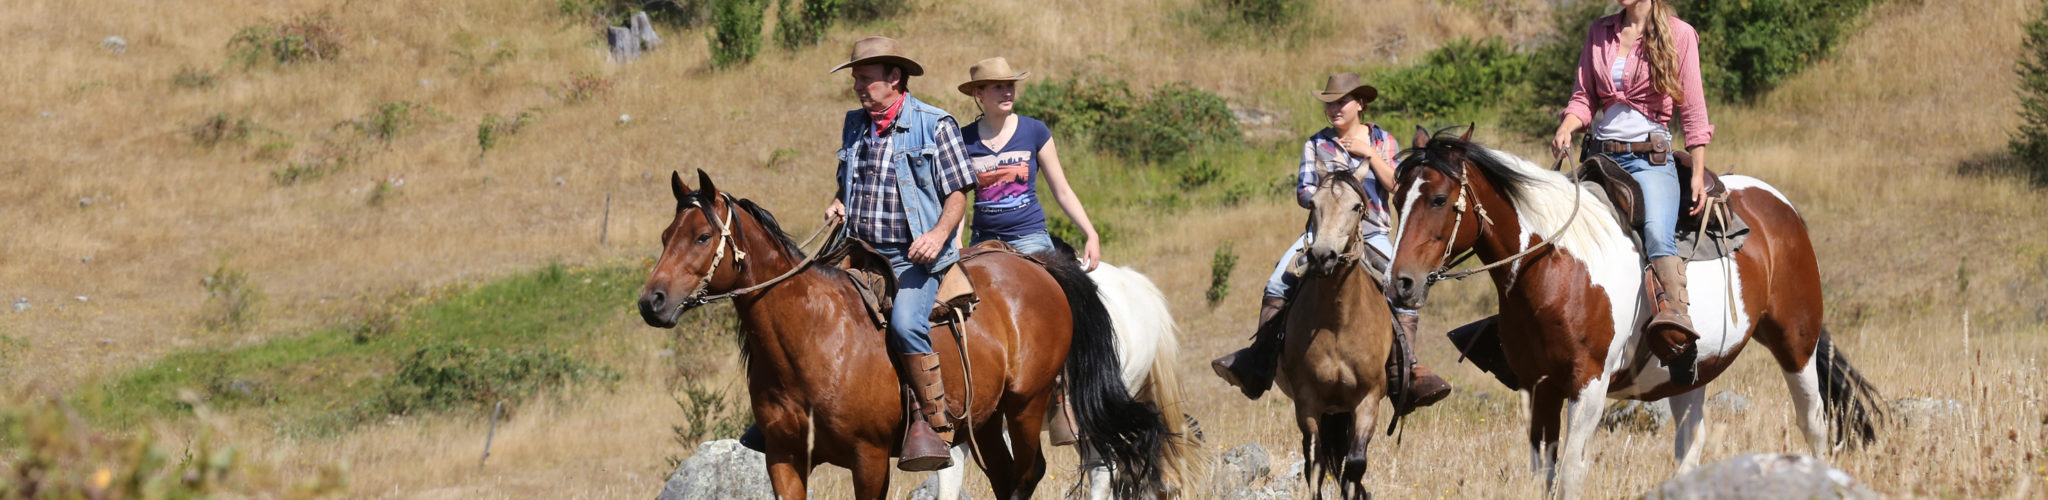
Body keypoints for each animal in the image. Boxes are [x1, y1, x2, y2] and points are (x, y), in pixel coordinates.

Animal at [634, 172, 1171, 500]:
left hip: (1027, 404)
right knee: (1006, 474)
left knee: (1031, 472)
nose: (651, 302)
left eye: (703, 237)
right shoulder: (784, 459)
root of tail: (1037, 266)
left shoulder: (869, 459)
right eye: (664, 237)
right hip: (984, 419)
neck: (813, 338)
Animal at [1269, 169, 1400, 500]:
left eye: (1356, 206)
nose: (1321, 256)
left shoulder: (1368, 400)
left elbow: (1354, 465)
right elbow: (1314, 464)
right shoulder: (1307, 400)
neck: (1339, 322)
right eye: (1313, 204)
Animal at [1384, 128, 1875, 495]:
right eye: (1395, 198)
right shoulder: (1538, 387)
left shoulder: (1589, 385)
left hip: (1795, 343)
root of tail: (1780, 205)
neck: (1557, 265)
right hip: (1690, 367)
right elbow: (1545, 474)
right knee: (1690, 442)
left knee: (1813, 424)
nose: (1400, 283)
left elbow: (1572, 473)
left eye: (1439, 199)